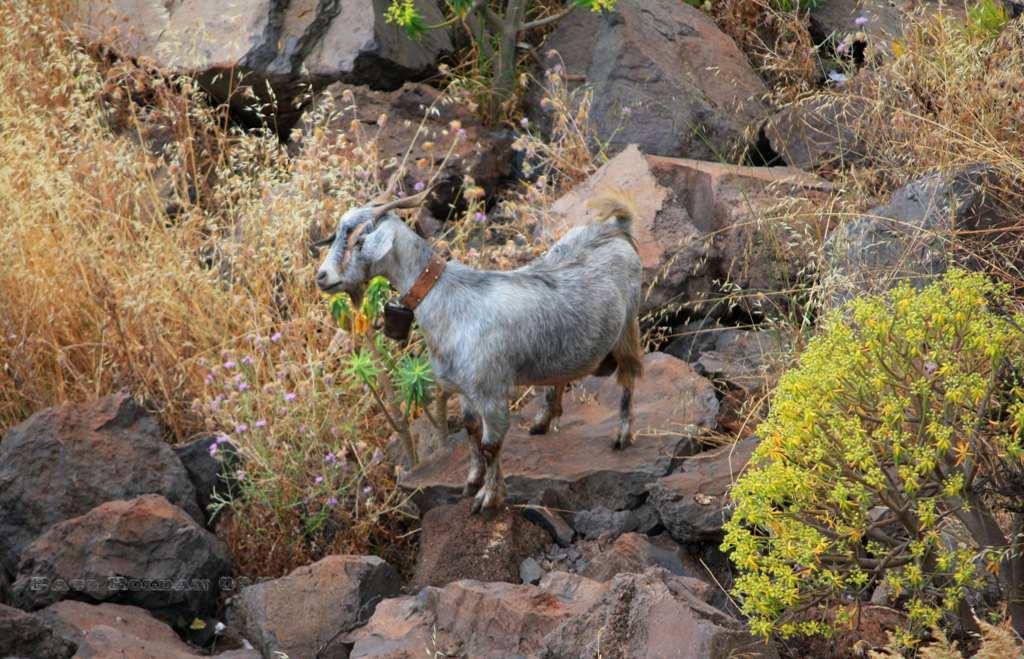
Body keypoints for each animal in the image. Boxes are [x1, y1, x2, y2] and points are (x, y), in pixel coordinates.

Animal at [315, 188, 643, 511]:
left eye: (359, 240)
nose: (322, 276)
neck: (447, 299)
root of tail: (616, 228)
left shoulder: (491, 392)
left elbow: (490, 445)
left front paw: (488, 498)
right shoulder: (464, 390)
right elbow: (471, 432)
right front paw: (472, 482)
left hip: (628, 325)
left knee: (628, 377)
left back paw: (622, 436)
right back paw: (543, 420)